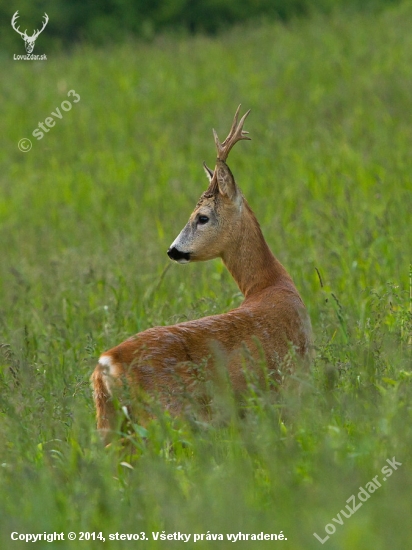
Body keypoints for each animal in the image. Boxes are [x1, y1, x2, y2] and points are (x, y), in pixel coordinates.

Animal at [92, 106, 312, 444]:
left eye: (202, 217)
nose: (172, 250)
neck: (271, 285)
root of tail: (107, 364)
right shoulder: (295, 379)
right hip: (166, 413)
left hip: (111, 424)